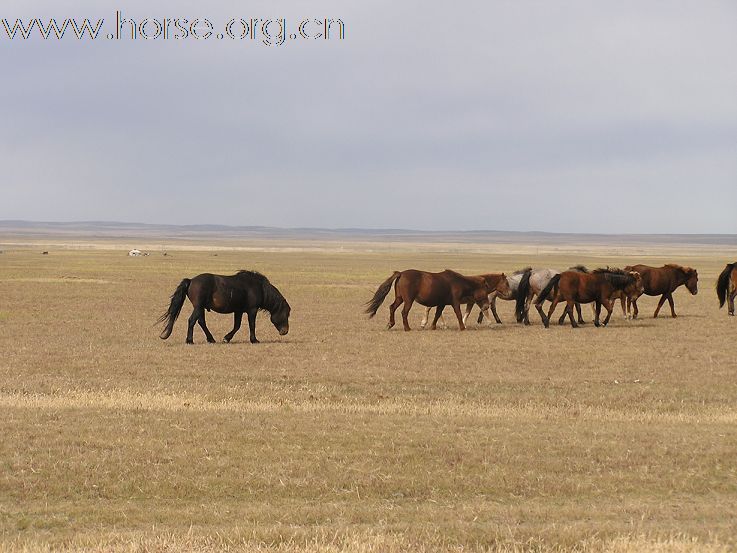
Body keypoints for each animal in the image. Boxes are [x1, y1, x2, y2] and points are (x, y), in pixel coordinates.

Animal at [158, 270, 290, 342]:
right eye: (287, 313)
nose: (285, 331)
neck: (259, 288)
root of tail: (191, 280)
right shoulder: (252, 310)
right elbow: (252, 325)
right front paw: (254, 340)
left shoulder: (238, 311)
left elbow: (237, 326)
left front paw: (227, 338)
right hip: (198, 307)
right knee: (192, 321)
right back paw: (190, 340)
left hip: (200, 308)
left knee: (201, 322)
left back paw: (211, 339)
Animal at [366, 270, 498, 330]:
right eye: (485, 291)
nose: (487, 306)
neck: (459, 282)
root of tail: (401, 273)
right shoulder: (455, 302)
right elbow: (459, 314)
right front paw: (462, 327)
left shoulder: (442, 304)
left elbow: (437, 314)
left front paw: (433, 326)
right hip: (408, 300)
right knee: (404, 312)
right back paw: (407, 328)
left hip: (400, 298)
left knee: (392, 307)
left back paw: (390, 324)